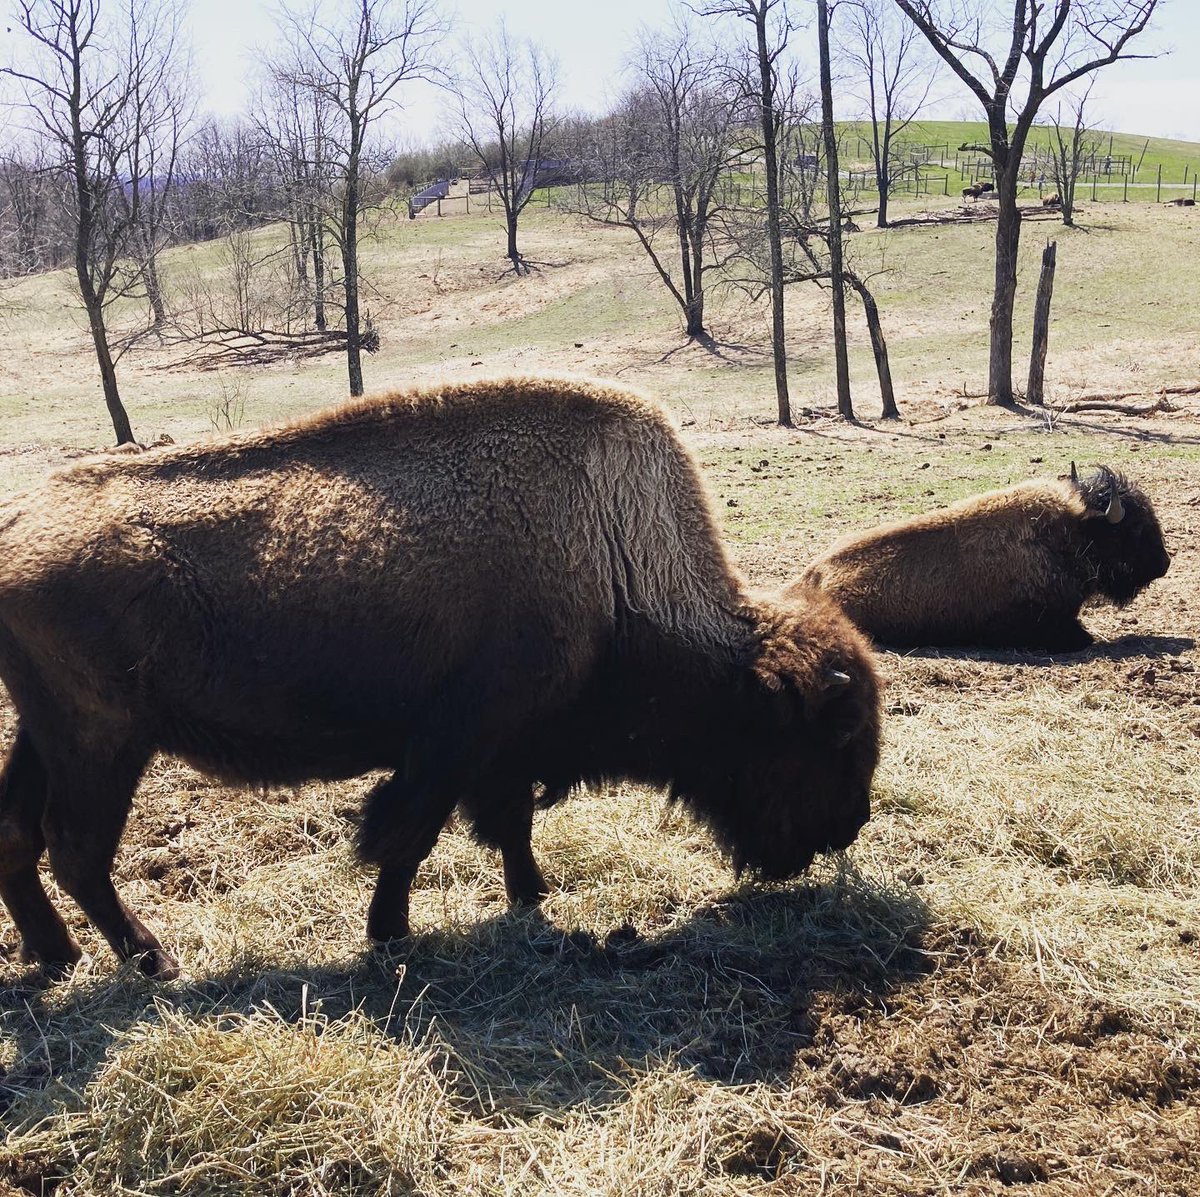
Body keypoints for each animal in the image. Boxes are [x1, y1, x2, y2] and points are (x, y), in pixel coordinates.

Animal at [0, 377, 880, 979]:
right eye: (833, 735)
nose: (848, 827)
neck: (609, 552)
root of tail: (16, 523)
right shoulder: (457, 740)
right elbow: (409, 834)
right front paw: (390, 930)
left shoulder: (503, 749)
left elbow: (506, 827)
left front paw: (531, 895)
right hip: (102, 741)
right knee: (76, 848)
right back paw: (152, 959)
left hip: (45, 734)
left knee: (21, 834)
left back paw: (59, 957)